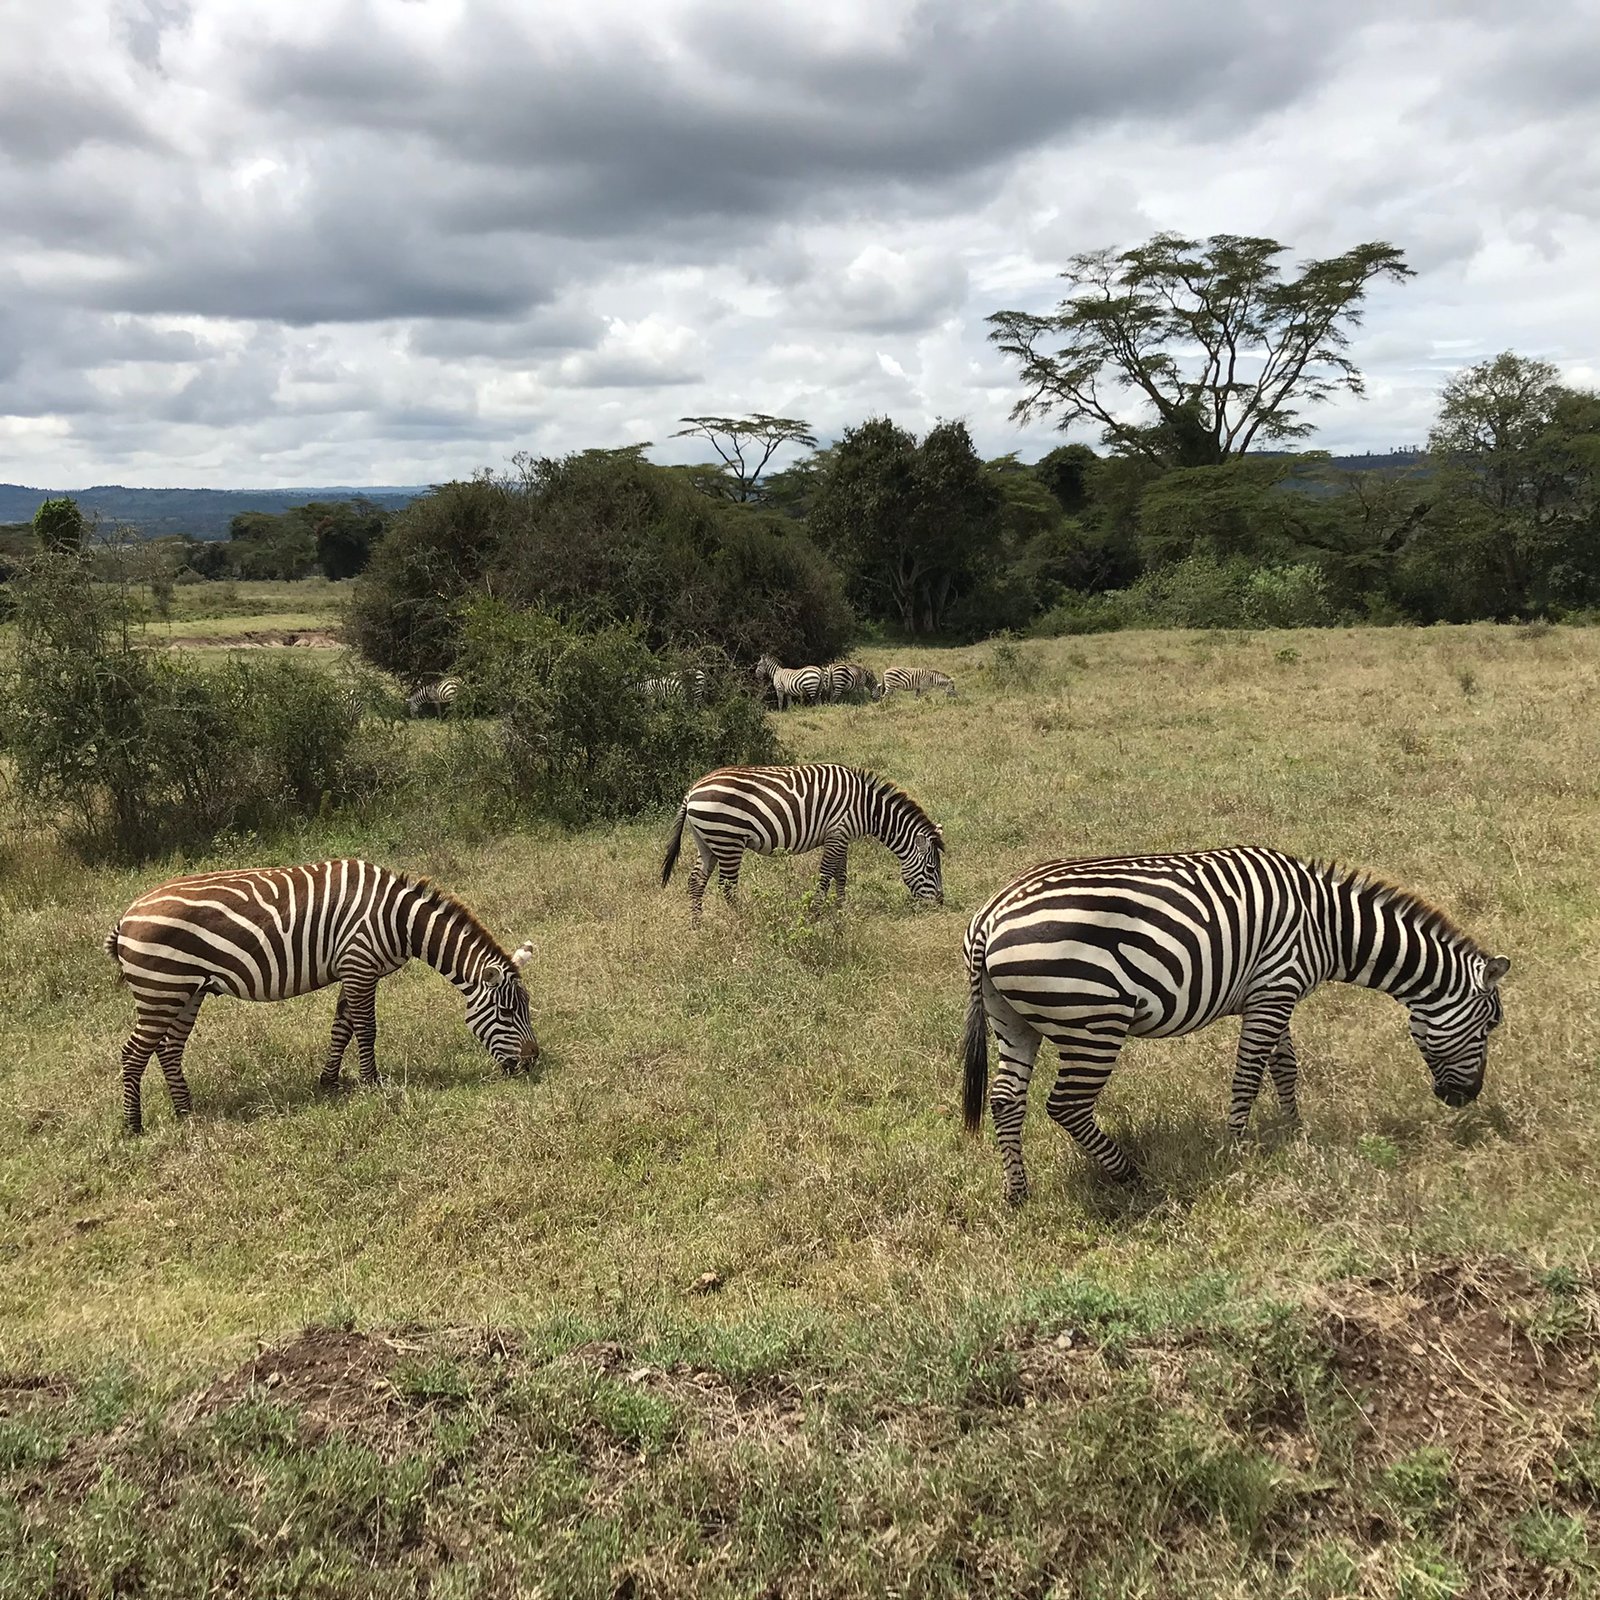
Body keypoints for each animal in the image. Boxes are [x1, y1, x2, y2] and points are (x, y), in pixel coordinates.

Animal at [104, 860, 538, 1133]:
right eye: (505, 1012)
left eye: (526, 1009)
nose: (533, 1062)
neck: (399, 920)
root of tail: (127, 916)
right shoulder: (360, 963)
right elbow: (365, 1028)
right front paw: (372, 1082)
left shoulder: (351, 969)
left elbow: (341, 1028)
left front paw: (329, 1081)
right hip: (161, 989)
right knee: (134, 1053)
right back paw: (133, 1125)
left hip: (186, 992)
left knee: (168, 1049)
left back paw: (185, 1112)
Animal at [660, 763, 945, 925]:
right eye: (932, 870)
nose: (940, 905)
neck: (866, 808)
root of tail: (692, 791)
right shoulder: (837, 833)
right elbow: (826, 875)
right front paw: (816, 914)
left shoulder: (840, 837)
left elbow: (841, 875)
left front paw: (840, 910)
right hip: (728, 840)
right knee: (727, 887)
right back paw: (743, 920)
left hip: (707, 842)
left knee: (696, 882)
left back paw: (697, 925)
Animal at [961, 846, 1509, 1204]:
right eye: (1489, 1027)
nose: (1464, 1099)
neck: (1330, 927)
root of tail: (990, 917)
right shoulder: (1276, 987)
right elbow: (1249, 1074)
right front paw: (1236, 1149)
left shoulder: (1273, 992)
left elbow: (1285, 1067)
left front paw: (1294, 1132)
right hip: (1094, 1020)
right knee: (1066, 1106)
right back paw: (1131, 1175)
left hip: (1013, 1020)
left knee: (1006, 1100)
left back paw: (1018, 1192)